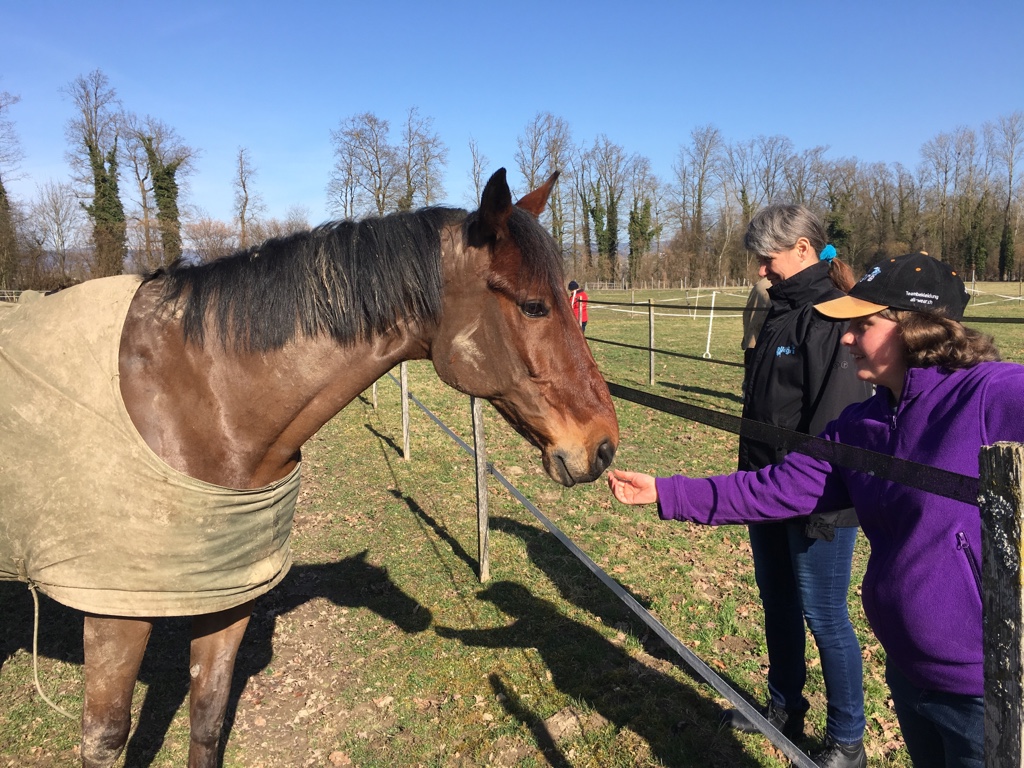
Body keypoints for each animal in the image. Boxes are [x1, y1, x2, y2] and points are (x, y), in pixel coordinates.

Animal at [0, 168, 618, 768]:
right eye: (533, 305)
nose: (604, 446)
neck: (197, 395)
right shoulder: (115, 610)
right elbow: (105, 739)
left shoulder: (228, 594)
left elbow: (208, 722)